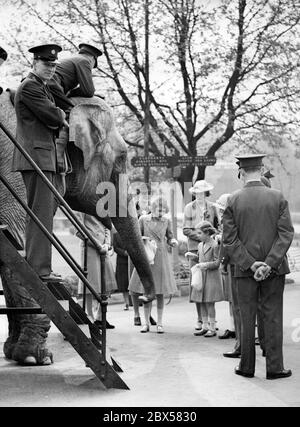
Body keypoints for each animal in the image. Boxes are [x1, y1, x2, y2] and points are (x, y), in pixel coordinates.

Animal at [0, 92, 155, 366]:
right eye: (122, 158)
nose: (145, 298)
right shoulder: (18, 178)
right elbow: (19, 252)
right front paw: (35, 358)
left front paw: (13, 352)